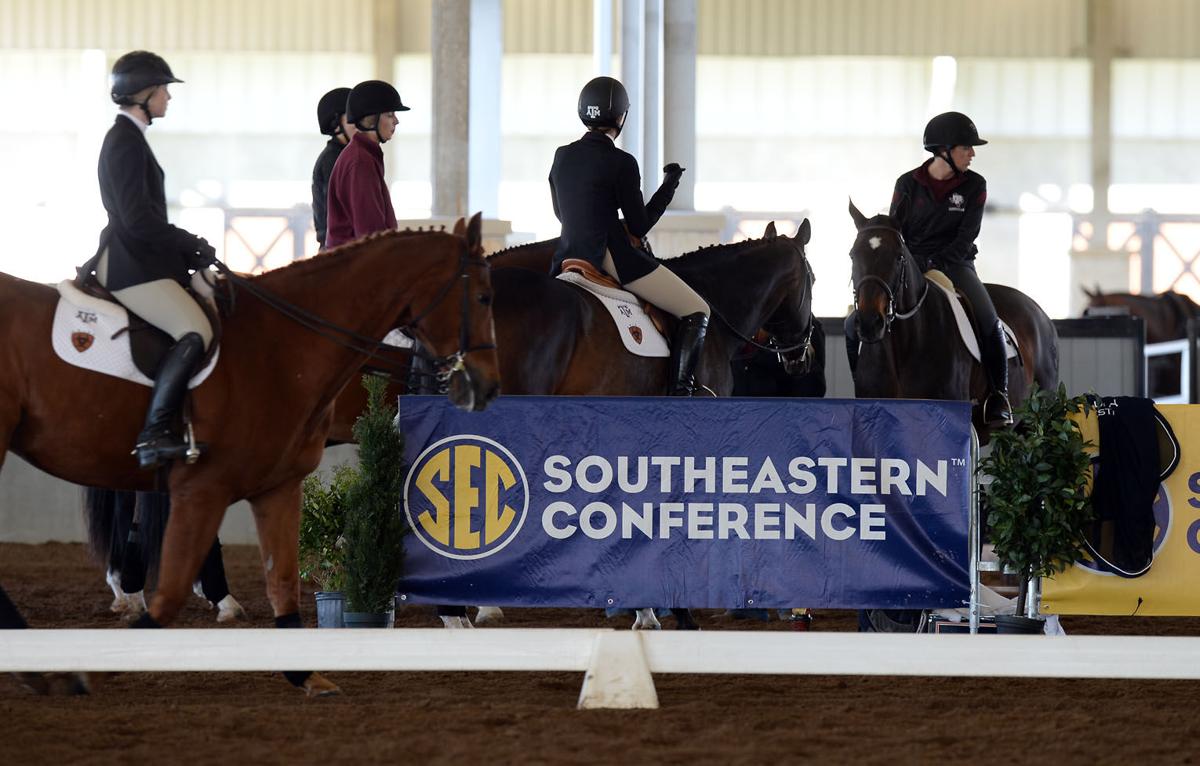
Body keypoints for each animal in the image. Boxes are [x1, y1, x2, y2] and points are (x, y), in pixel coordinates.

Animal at [0, 217, 496, 696]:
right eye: (484, 297)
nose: (486, 385)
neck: (280, 346)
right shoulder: (202, 488)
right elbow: (171, 592)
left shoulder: (279, 487)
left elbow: (283, 581)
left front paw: (306, 676)